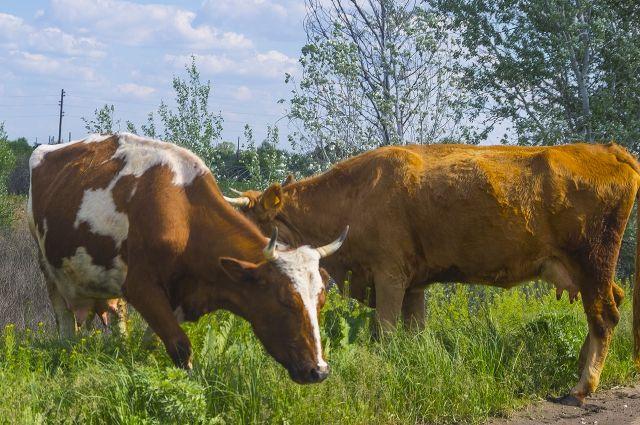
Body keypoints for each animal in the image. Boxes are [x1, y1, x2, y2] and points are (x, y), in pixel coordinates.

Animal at [28, 132, 350, 380]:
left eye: (320, 302)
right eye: (285, 301)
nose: (319, 370)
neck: (184, 216)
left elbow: (153, 343)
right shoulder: (141, 287)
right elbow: (180, 346)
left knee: (116, 317)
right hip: (48, 270)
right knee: (65, 323)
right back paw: (68, 353)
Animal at [228, 143, 640, 404]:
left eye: (246, 222)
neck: (357, 195)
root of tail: (607, 150)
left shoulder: (389, 277)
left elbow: (386, 333)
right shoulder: (413, 284)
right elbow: (415, 333)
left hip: (593, 263)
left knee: (605, 315)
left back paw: (583, 386)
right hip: (588, 272)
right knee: (611, 304)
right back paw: (582, 368)